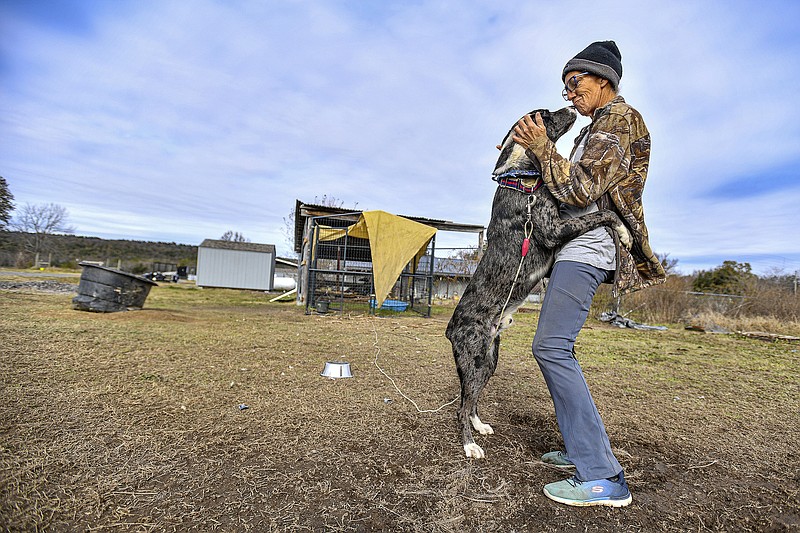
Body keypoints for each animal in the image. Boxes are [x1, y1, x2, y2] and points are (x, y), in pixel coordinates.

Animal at [446, 107, 628, 458]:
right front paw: (624, 232)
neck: (523, 177)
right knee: (461, 407)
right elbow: (603, 216)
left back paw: (479, 426)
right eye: (544, 114)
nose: (569, 107)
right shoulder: (554, 230)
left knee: (470, 401)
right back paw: (469, 445)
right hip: (473, 358)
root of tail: (450, 329)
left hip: (489, 360)